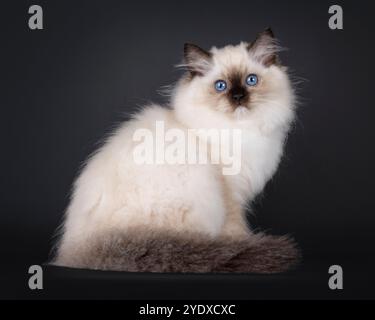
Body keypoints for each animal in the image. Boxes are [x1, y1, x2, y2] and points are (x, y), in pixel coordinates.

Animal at [52, 28, 300, 272]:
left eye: (251, 80)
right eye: (221, 86)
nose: (238, 97)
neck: (240, 130)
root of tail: (91, 247)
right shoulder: (231, 195)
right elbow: (236, 231)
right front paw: (243, 243)